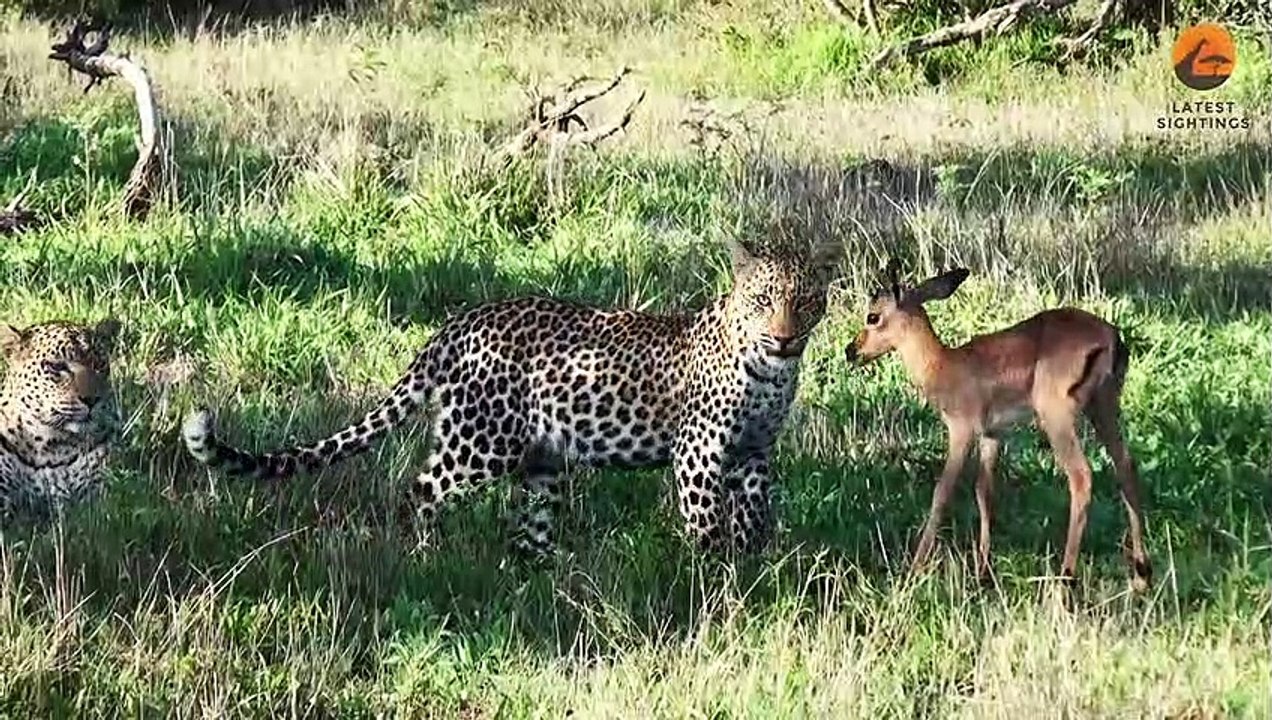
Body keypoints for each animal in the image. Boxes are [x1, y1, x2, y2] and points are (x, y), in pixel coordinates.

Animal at [844, 260, 1151, 591]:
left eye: (873, 316)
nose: (851, 351)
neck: (944, 366)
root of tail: (1112, 338)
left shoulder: (961, 432)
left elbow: (942, 493)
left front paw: (914, 569)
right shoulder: (993, 434)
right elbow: (985, 492)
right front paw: (983, 572)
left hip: (1058, 416)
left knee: (1081, 476)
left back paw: (1065, 578)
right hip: (1103, 407)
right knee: (1126, 465)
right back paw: (1141, 573)